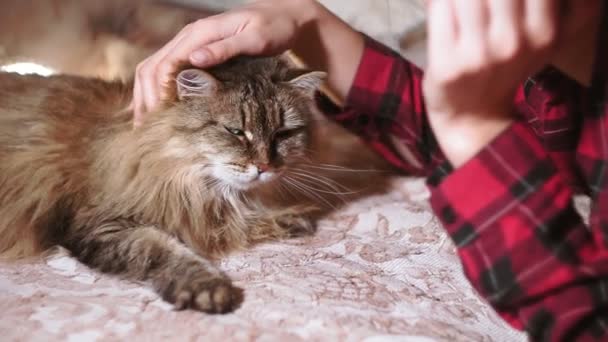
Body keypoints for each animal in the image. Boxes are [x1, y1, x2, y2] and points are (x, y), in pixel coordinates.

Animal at [0, 56, 328, 312]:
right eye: (235, 131)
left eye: (283, 134)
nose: (264, 167)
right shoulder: (101, 224)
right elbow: (166, 251)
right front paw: (208, 287)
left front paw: (289, 219)